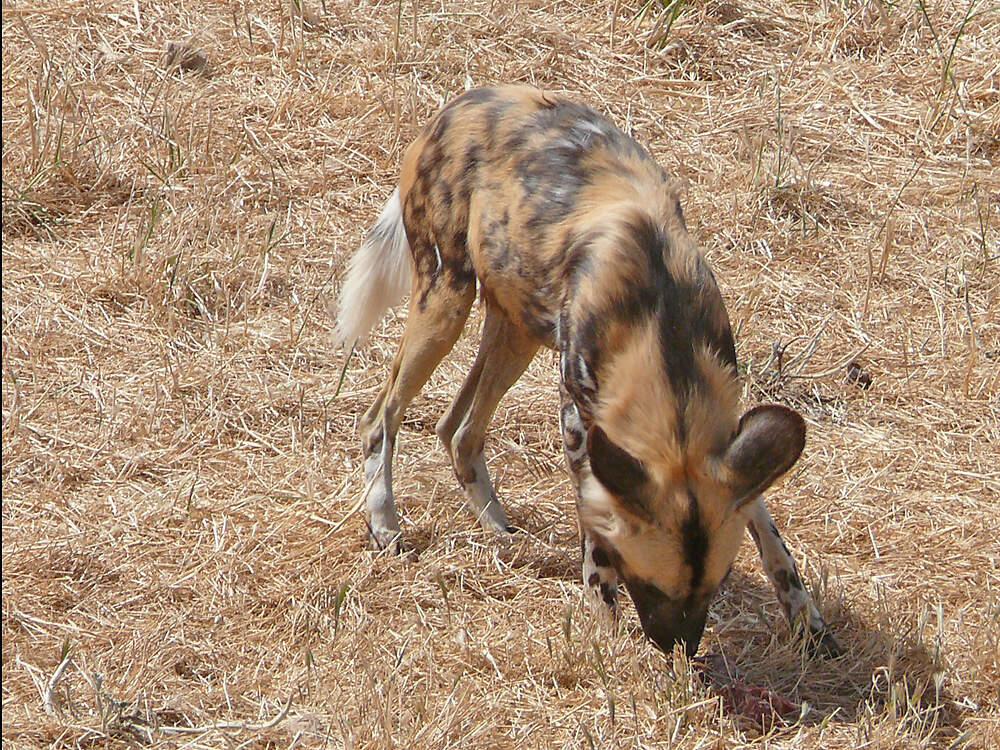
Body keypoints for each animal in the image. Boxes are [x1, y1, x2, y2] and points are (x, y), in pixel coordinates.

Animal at [338, 86, 844, 656]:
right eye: (651, 586)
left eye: (716, 585)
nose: (679, 649)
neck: (662, 318)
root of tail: (459, 104)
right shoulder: (580, 424)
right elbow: (593, 530)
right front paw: (604, 625)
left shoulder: (723, 446)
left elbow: (769, 532)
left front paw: (807, 621)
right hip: (447, 301)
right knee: (381, 417)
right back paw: (385, 525)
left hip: (518, 327)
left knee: (459, 430)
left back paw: (498, 531)